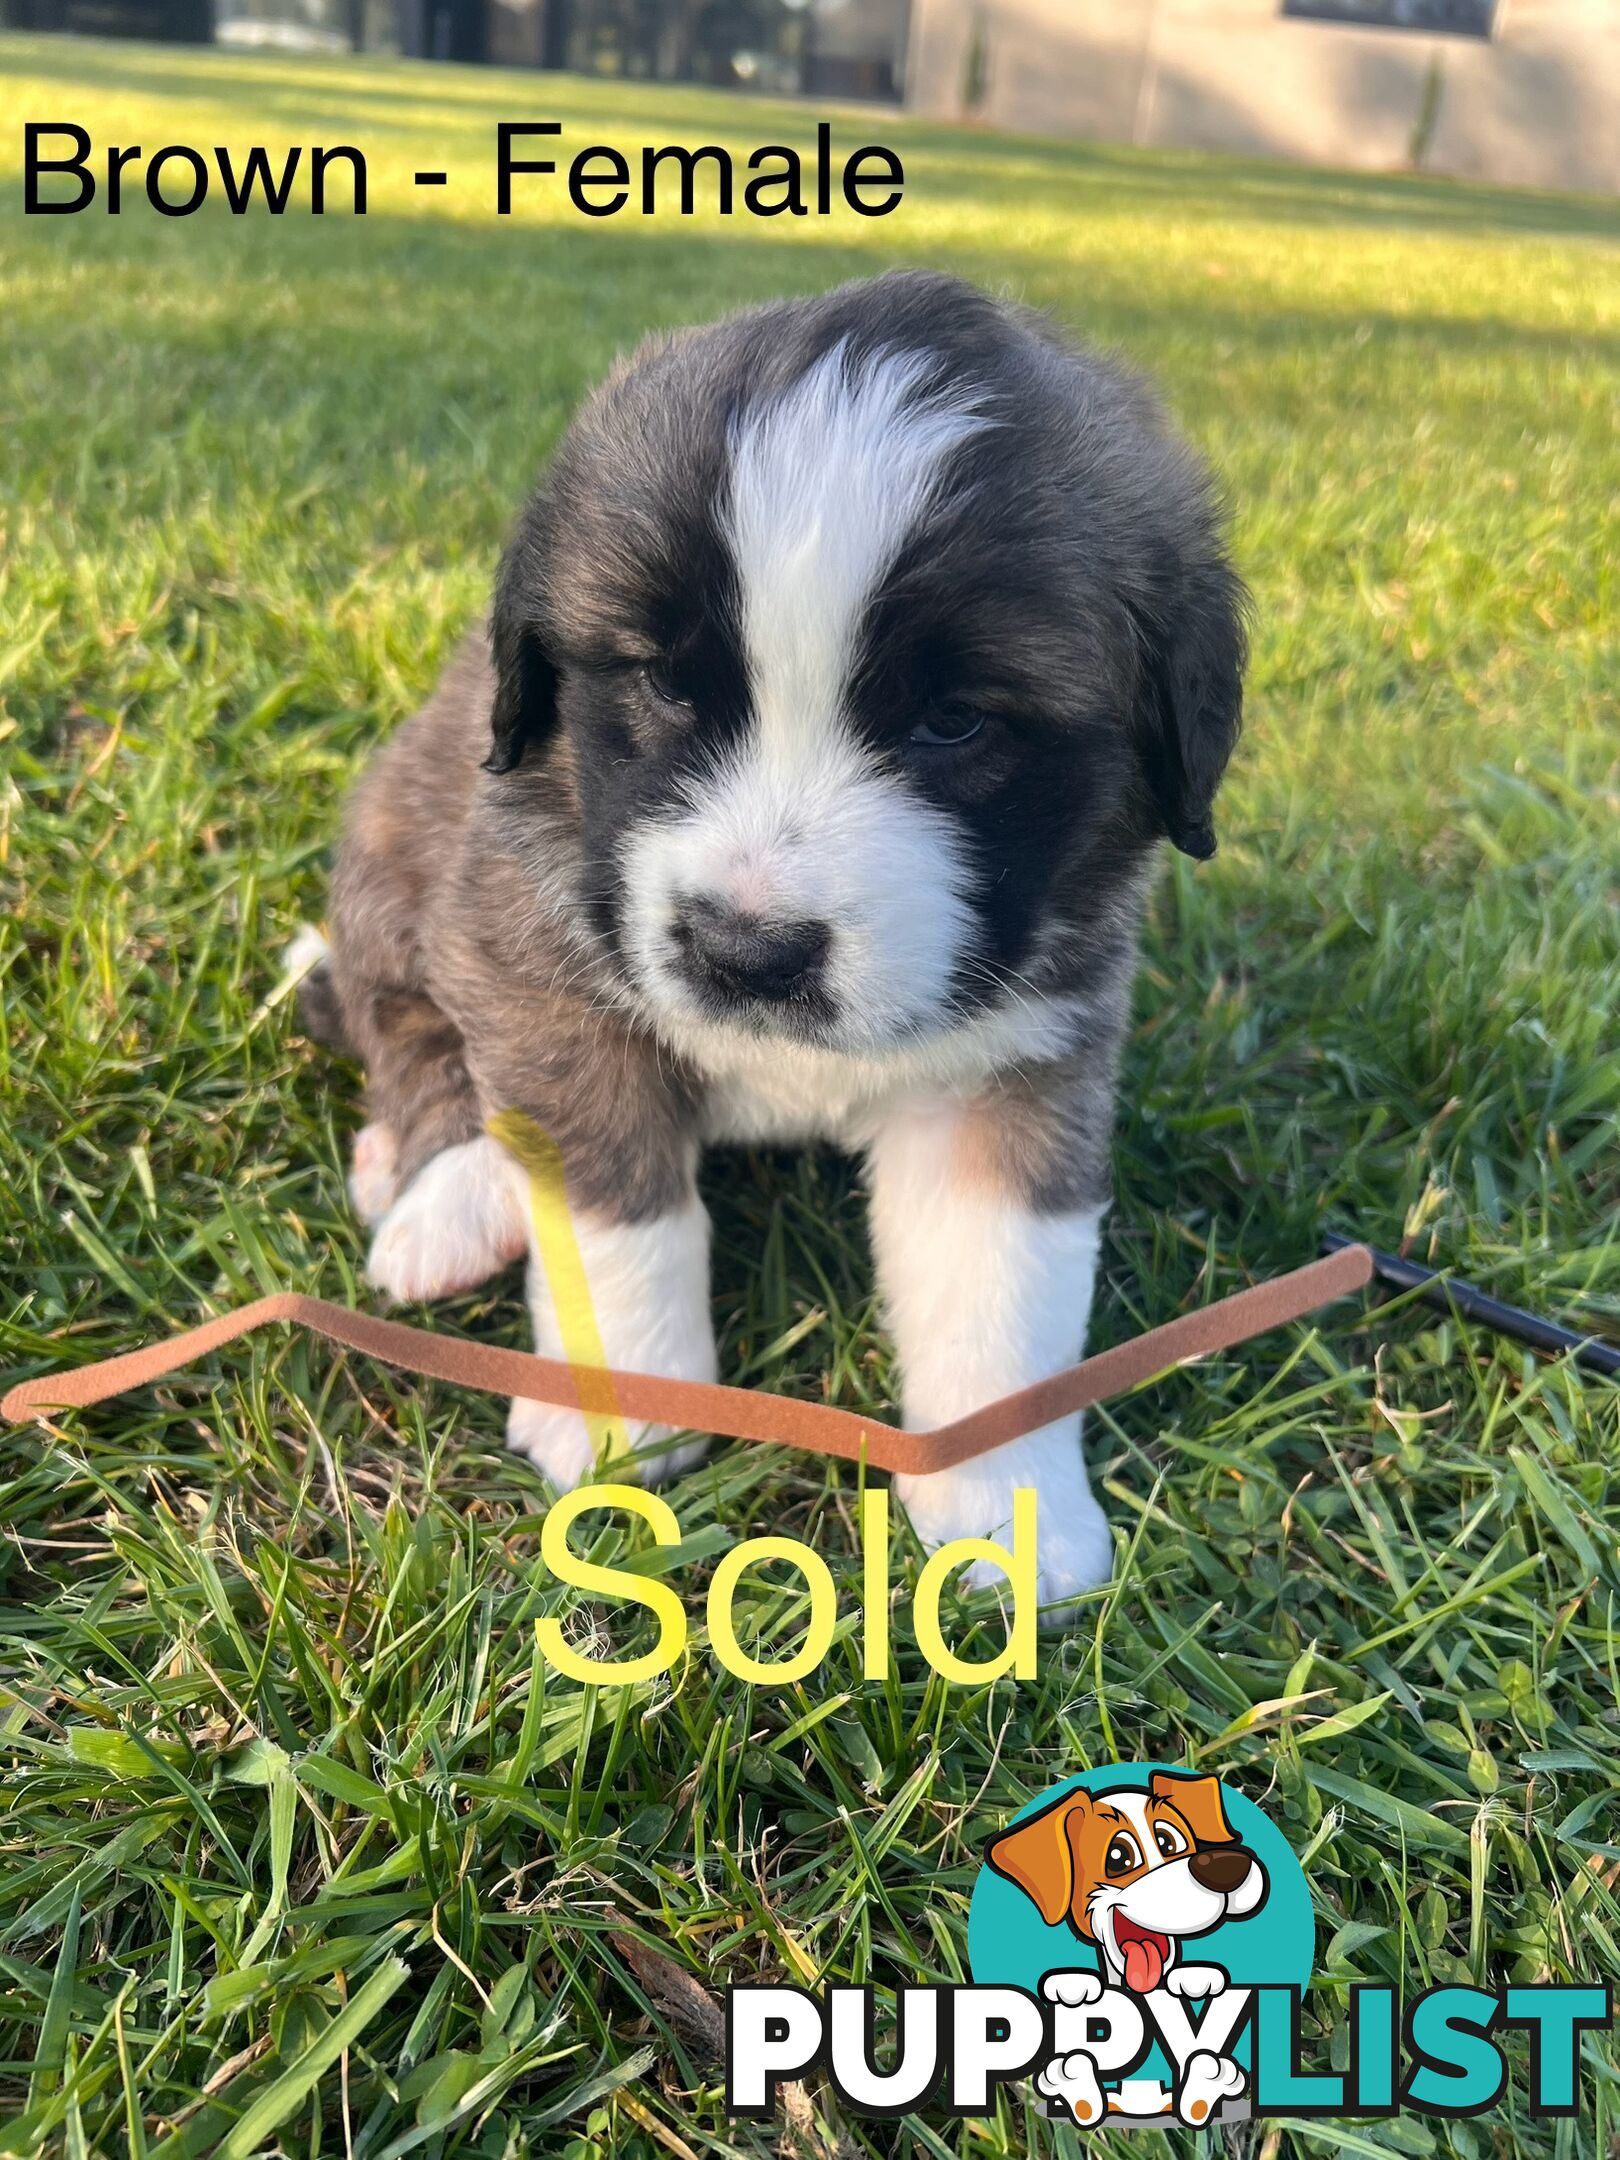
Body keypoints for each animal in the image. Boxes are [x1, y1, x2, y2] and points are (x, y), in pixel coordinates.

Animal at [302, 270, 1244, 1615]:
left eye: (956, 722)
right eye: (659, 680)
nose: (745, 952)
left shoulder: (1017, 1052)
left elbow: (1004, 1282)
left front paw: (1010, 1502)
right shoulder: (547, 969)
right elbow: (619, 1221)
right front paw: (627, 1419)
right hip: (402, 838)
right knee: (402, 1019)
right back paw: (445, 1187)